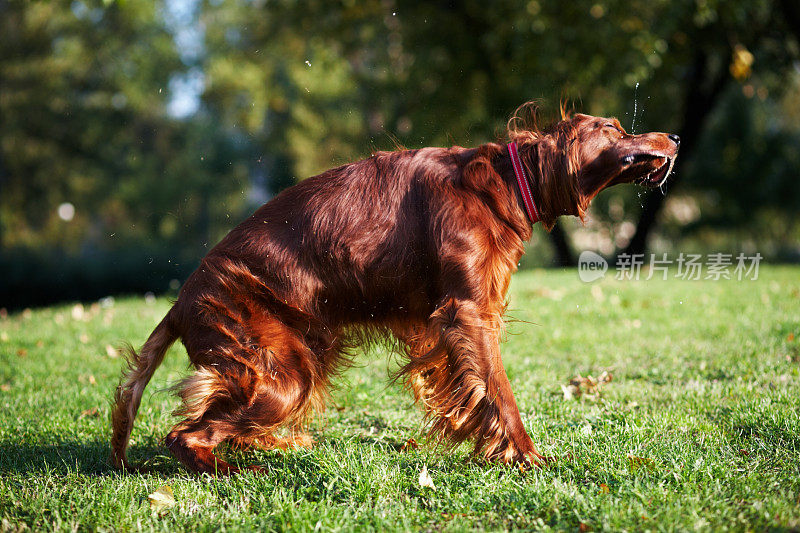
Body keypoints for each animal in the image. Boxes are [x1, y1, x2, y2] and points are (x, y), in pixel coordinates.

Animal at [109, 108, 680, 474]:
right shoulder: (469, 312)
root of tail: (179, 304)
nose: (673, 137)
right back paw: (233, 471)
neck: (503, 182)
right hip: (280, 373)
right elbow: (500, 391)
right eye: (613, 127)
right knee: (184, 435)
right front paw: (526, 457)